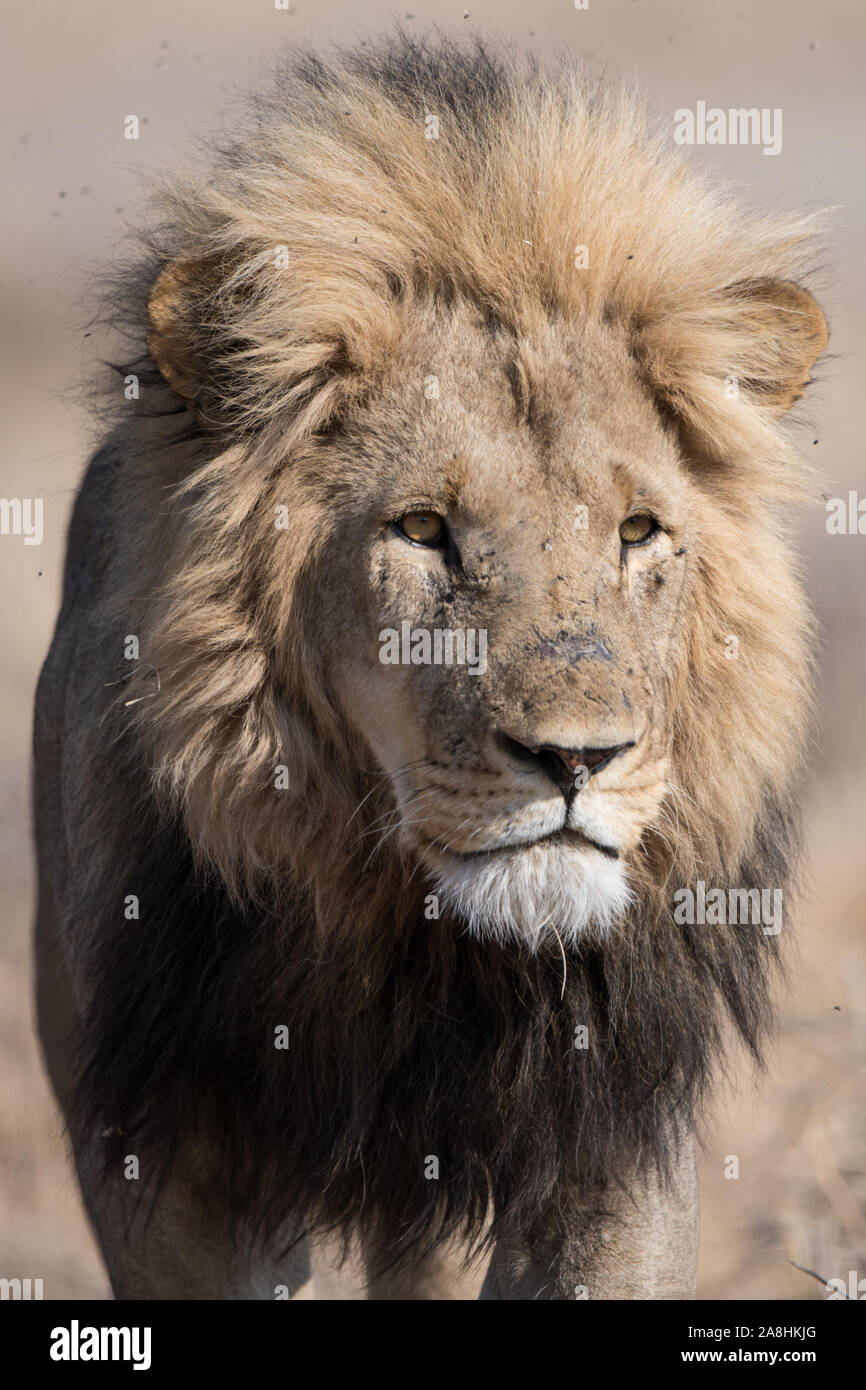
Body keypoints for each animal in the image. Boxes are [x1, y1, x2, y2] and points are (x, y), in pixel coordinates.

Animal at [34, 35, 829, 1300]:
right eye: (421, 529)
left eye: (636, 531)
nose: (576, 760)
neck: (419, 944)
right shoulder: (164, 1152)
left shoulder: (608, 1134)